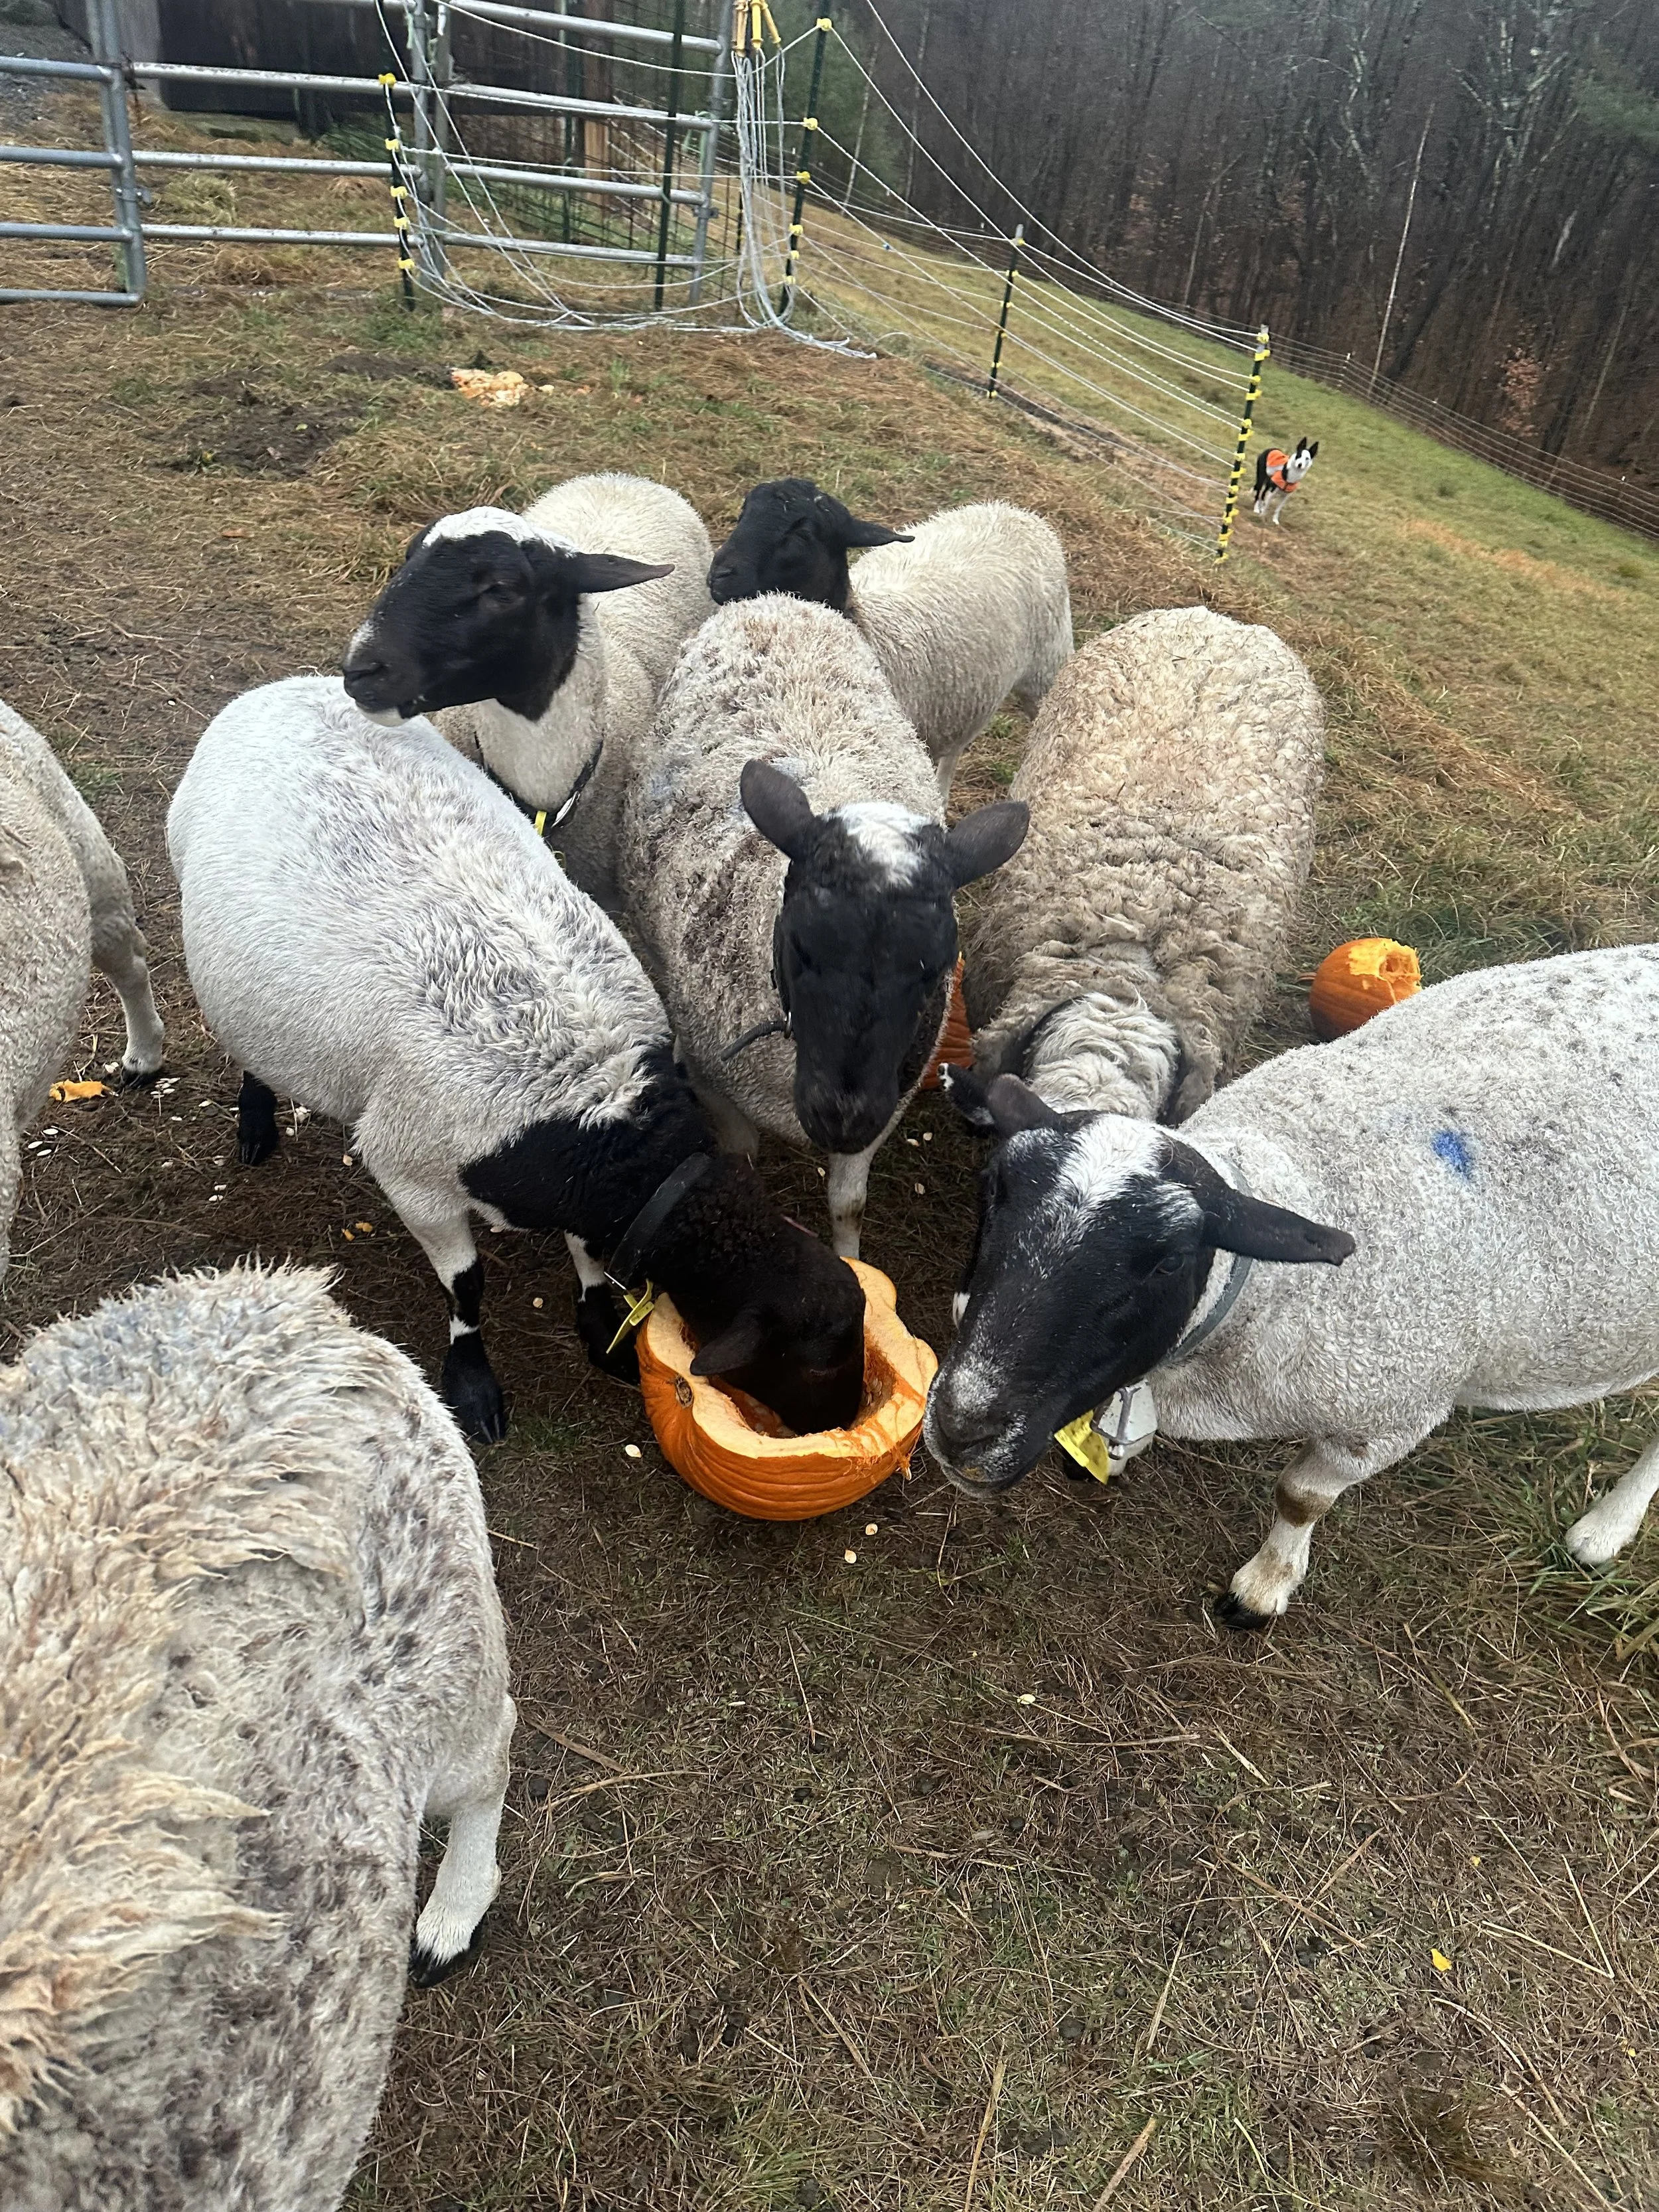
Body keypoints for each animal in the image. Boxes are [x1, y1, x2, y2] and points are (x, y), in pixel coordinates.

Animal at [168, 675, 865, 1445]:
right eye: (818, 1361)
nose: (845, 1420)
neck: (595, 1110)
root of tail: (281, 687)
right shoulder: (410, 1170)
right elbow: (467, 1285)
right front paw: (472, 1383)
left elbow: (588, 1250)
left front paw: (599, 1325)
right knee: (252, 1054)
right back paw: (255, 1124)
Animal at [619, 596, 1028, 1258]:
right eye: (800, 947)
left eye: (935, 971)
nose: (841, 1116)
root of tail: (778, 602)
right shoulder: (717, 1079)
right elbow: (744, 1159)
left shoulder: (888, 1099)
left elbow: (848, 1202)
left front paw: (850, 1259)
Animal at [707, 478, 1073, 805]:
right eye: (744, 514)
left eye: (801, 533)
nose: (719, 576)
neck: (868, 629)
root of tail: (1018, 513)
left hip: (1048, 671)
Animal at [926, 943, 1659, 1626]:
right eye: (993, 1190)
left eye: (1167, 1262)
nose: (962, 1431)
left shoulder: (1384, 1421)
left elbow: (1300, 1498)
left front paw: (1264, 1586)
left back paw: (1603, 1530)